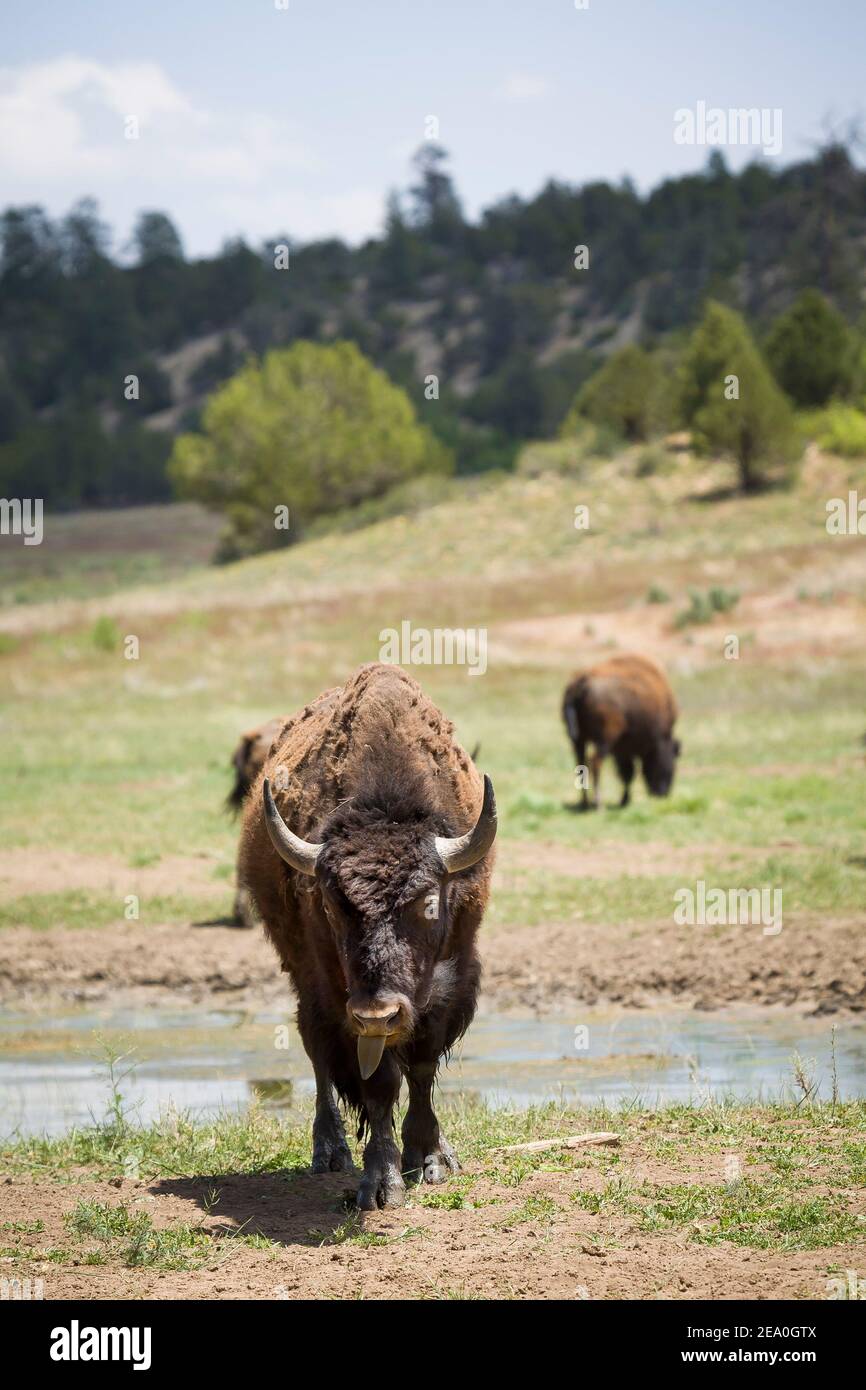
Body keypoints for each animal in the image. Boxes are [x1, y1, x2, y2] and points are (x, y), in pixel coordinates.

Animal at [237, 661, 497, 1206]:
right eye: (332, 906)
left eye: (428, 901)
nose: (379, 1012)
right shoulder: (343, 998)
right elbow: (378, 1083)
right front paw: (382, 1182)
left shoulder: (451, 981)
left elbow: (421, 1066)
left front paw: (432, 1158)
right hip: (307, 981)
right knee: (318, 1054)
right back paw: (329, 1151)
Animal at [567, 653, 681, 811]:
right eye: (672, 767)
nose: (662, 794)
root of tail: (582, 683)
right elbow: (628, 774)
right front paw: (624, 801)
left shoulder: (622, 751)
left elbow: (627, 774)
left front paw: (624, 800)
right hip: (604, 741)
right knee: (595, 763)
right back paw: (598, 804)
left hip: (578, 740)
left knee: (581, 764)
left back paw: (585, 803)